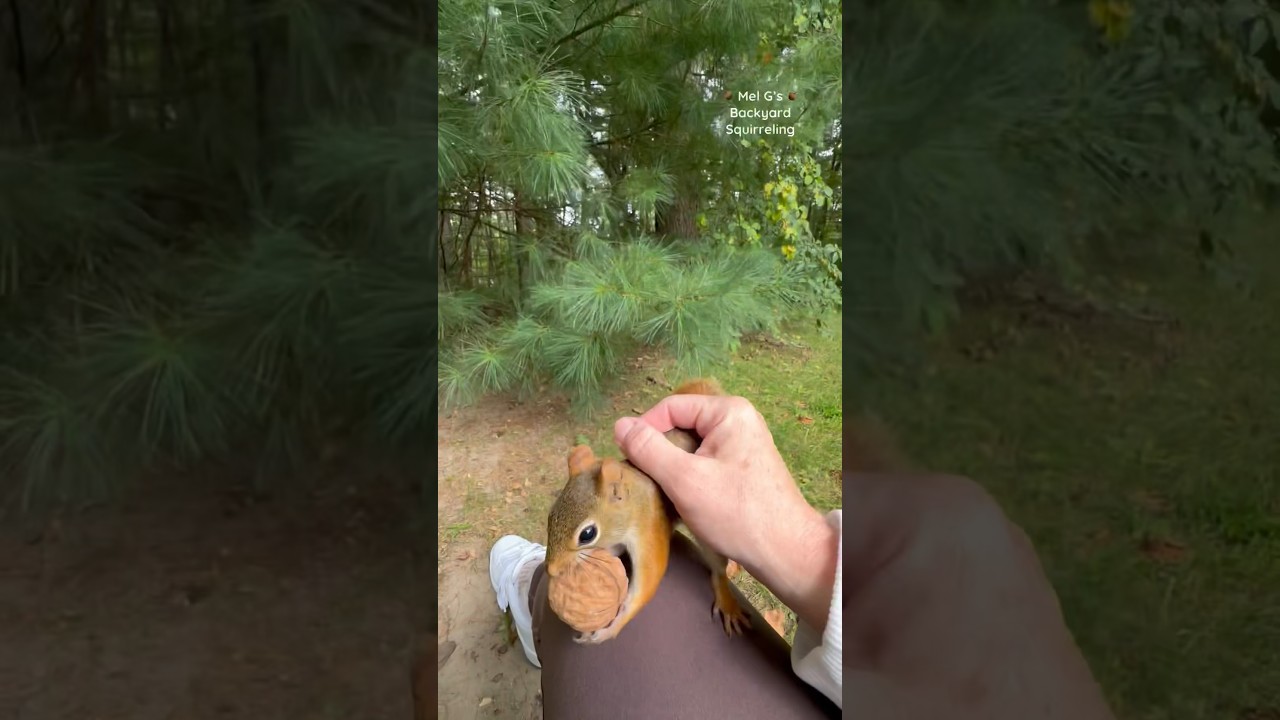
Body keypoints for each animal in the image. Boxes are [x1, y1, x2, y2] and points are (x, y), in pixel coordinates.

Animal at [545, 377, 751, 644]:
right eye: (550, 516)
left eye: (587, 534)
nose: (551, 570)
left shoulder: (650, 526)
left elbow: (649, 577)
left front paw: (610, 628)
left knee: (718, 570)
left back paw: (727, 601)